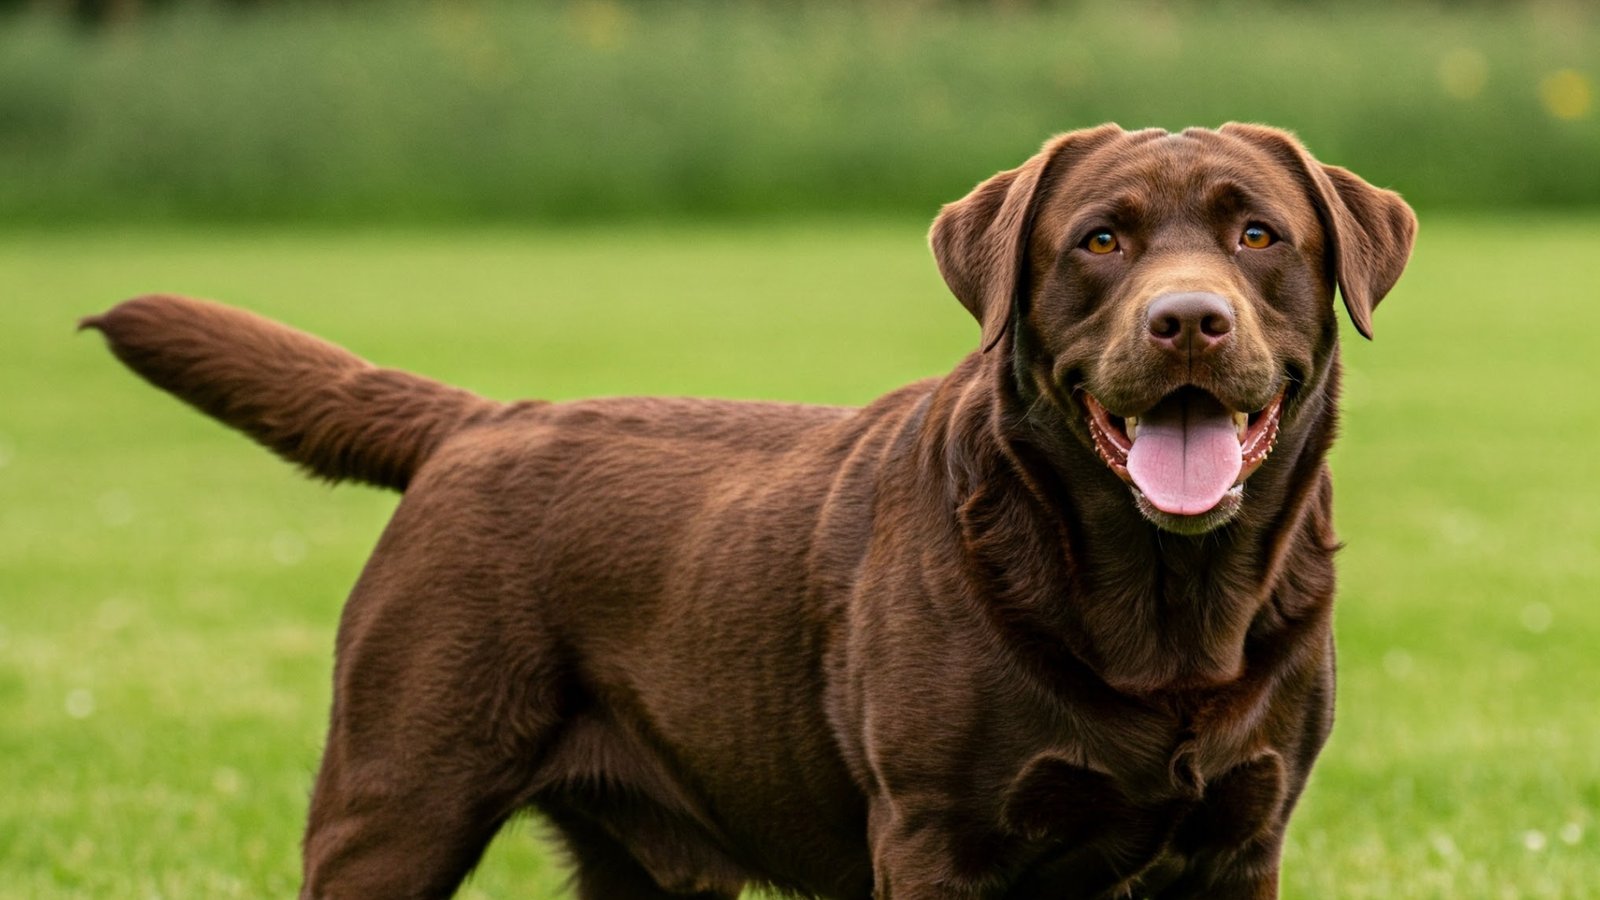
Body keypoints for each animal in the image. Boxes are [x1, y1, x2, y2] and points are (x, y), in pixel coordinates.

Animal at [87, 120, 1414, 896]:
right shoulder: (935, 838)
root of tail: (482, 419)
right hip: (395, 800)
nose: (1186, 320)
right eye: (1098, 241)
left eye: (1258, 234)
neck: (1163, 604)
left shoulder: (1239, 841)